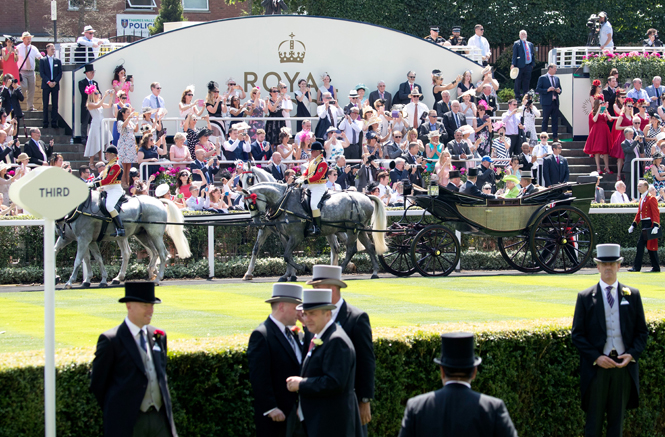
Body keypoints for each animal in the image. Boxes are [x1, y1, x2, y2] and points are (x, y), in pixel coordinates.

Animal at [59, 190, 191, 286]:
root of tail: (158, 201)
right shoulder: (84, 239)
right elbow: (92, 258)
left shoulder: (83, 238)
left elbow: (78, 260)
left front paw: (70, 281)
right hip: (141, 235)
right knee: (153, 252)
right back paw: (148, 271)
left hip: (155, 234)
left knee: (162, 253)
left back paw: (157, 278)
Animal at [240, 181, 386, 282]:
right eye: (246, 205)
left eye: (251, 204)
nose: (257, 223)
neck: (284, 201)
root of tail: (365, 196)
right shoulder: (284, 236)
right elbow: (286, 256)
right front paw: (287, 275)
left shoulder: (296, 236)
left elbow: (287, 255)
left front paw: (302, 268)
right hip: (358, 230)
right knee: (369, 247)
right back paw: (375, 272)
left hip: (352, 230)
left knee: (351, 249)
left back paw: (340, 269)